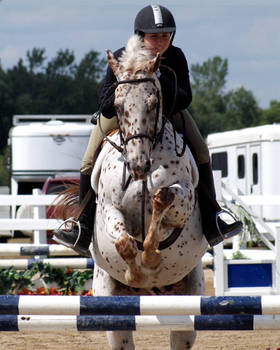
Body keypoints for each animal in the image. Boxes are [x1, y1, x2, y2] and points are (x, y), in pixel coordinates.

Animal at [89, 33, 208, 350]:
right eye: (118, 106)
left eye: (154, 103)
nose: (138, 166)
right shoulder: (109, 208)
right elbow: (124, 243)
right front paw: (135, 270)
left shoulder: (183, 202)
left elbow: (162, 198)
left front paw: (151, 257)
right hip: (106, 295)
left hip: (190, 298)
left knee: (181, 334)